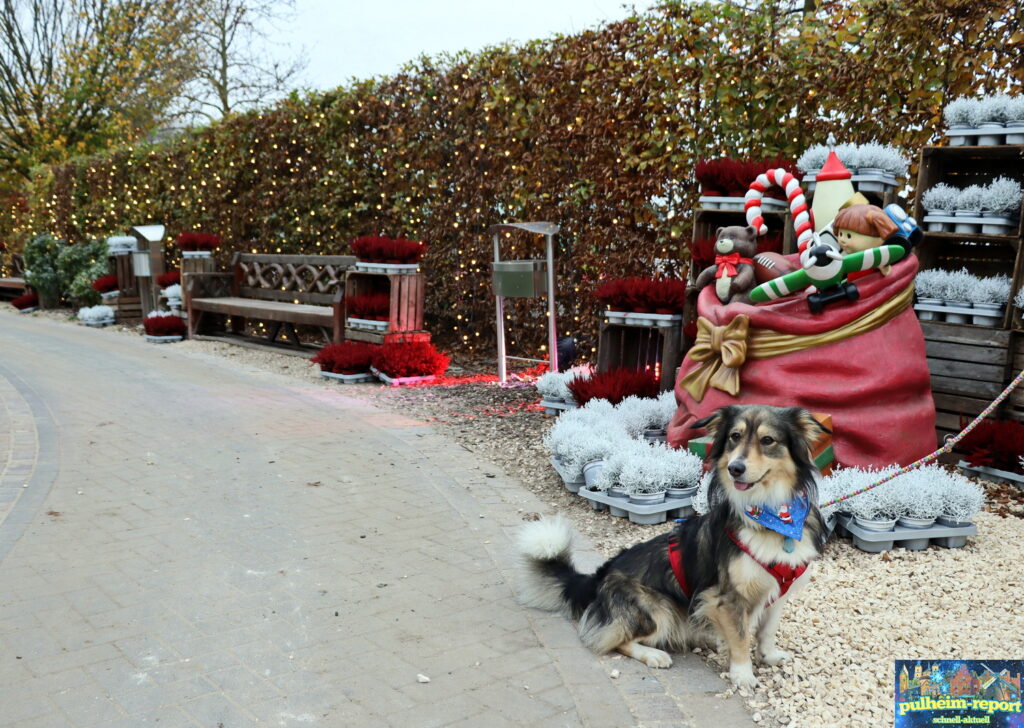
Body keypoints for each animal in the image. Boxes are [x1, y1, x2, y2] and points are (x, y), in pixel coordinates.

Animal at [520, 403, 831, 688]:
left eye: (768, 440)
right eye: (735, 436)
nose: (735, 468)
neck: (772, 516)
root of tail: (598, 578)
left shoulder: (778, 590)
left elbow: (767, 630)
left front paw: (768, 656)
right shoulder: (727, 596)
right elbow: (742, 637)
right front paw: (743, 674)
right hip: (659, 608)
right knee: (611, 640)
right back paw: (654, 654)